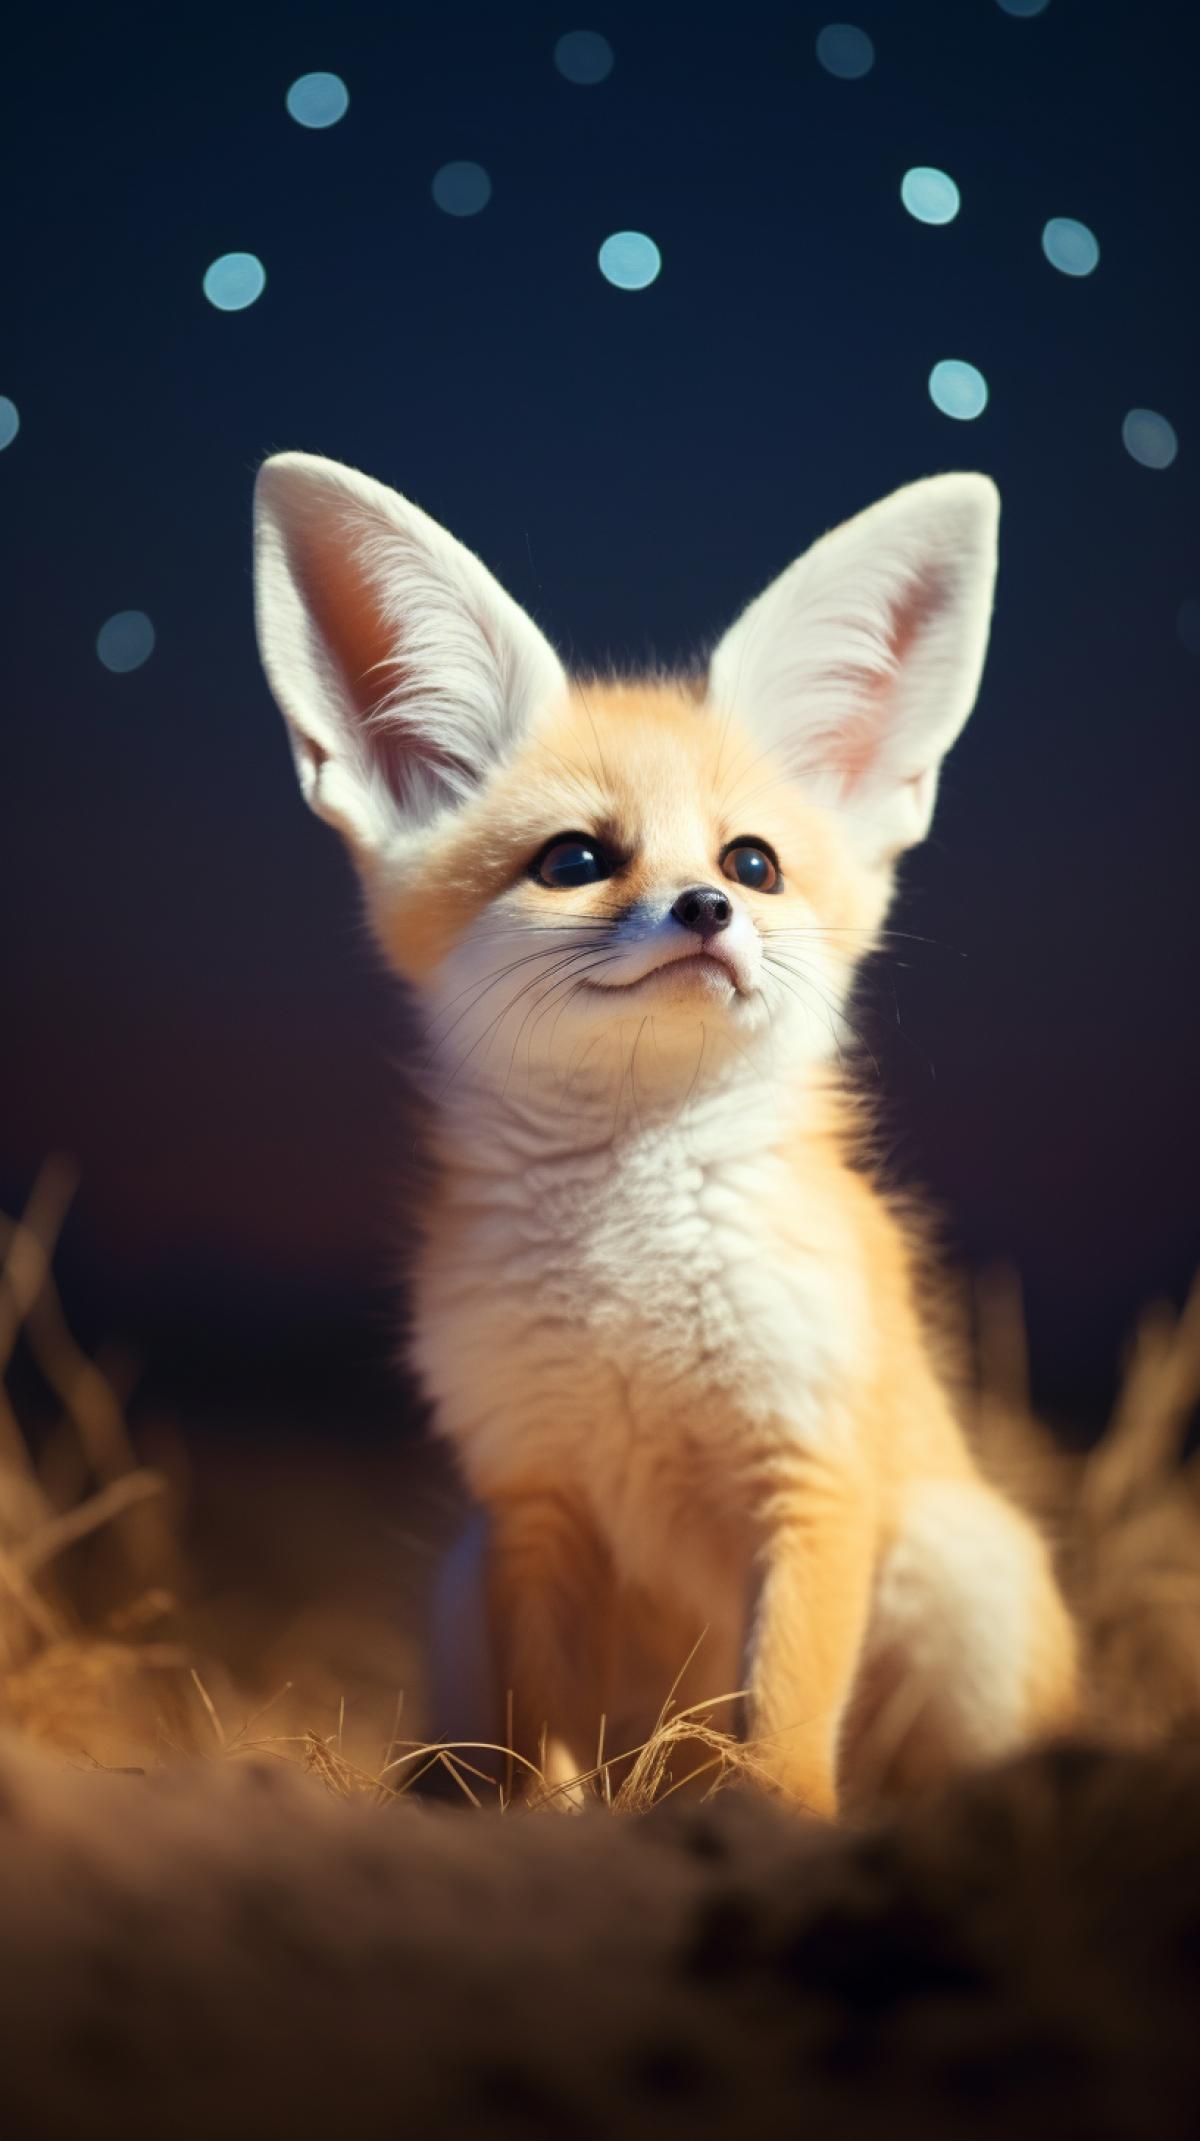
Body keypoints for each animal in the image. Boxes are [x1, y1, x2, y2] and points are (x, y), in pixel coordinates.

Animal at [252, 452, 1077, 1814]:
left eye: (753, 864)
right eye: (574, 859)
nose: (703, 909)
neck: (626, 1266)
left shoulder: (808, 1470)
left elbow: (783, 1730)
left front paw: (770, 1821)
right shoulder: (533, 1498)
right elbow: (541, 1744)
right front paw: (547, 1824)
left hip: (964, 1569)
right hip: (459, 1583)